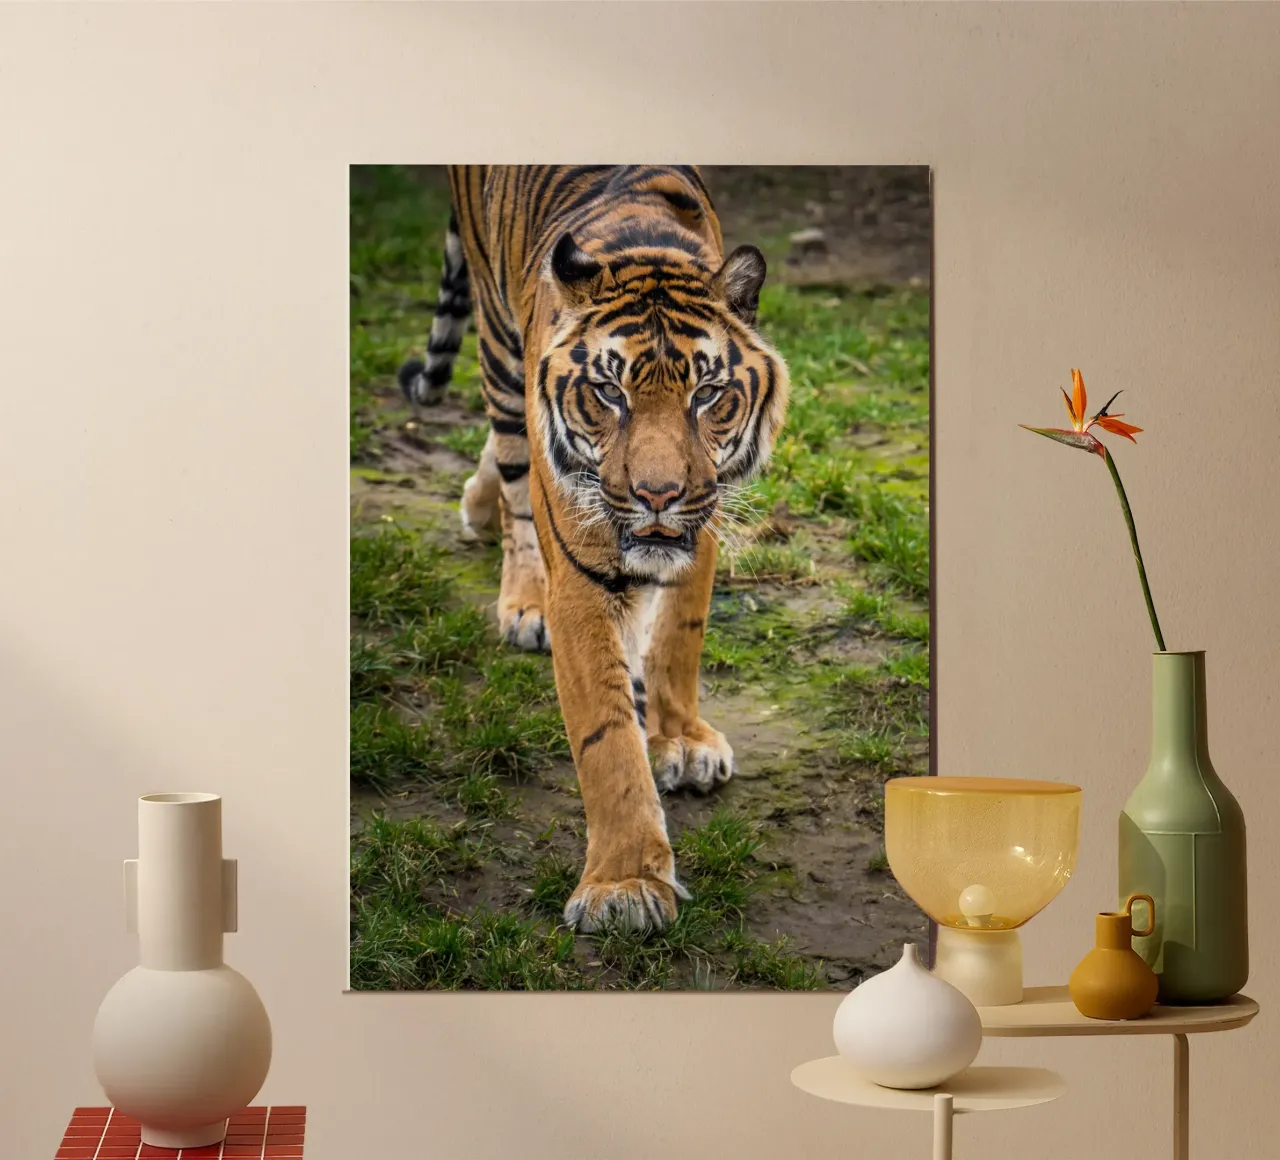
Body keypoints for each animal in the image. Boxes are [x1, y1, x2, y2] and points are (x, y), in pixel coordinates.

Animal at [398, 166, 789, 934]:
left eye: (708, 394)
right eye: (610, 392)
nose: (659, 494)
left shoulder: (702, 525)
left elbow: (678, 640)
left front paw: (681, 739)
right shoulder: (580, 577)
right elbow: (606, 739)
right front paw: (626, 884)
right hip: (498, 354)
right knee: (516, 487)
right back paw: (519, 592)